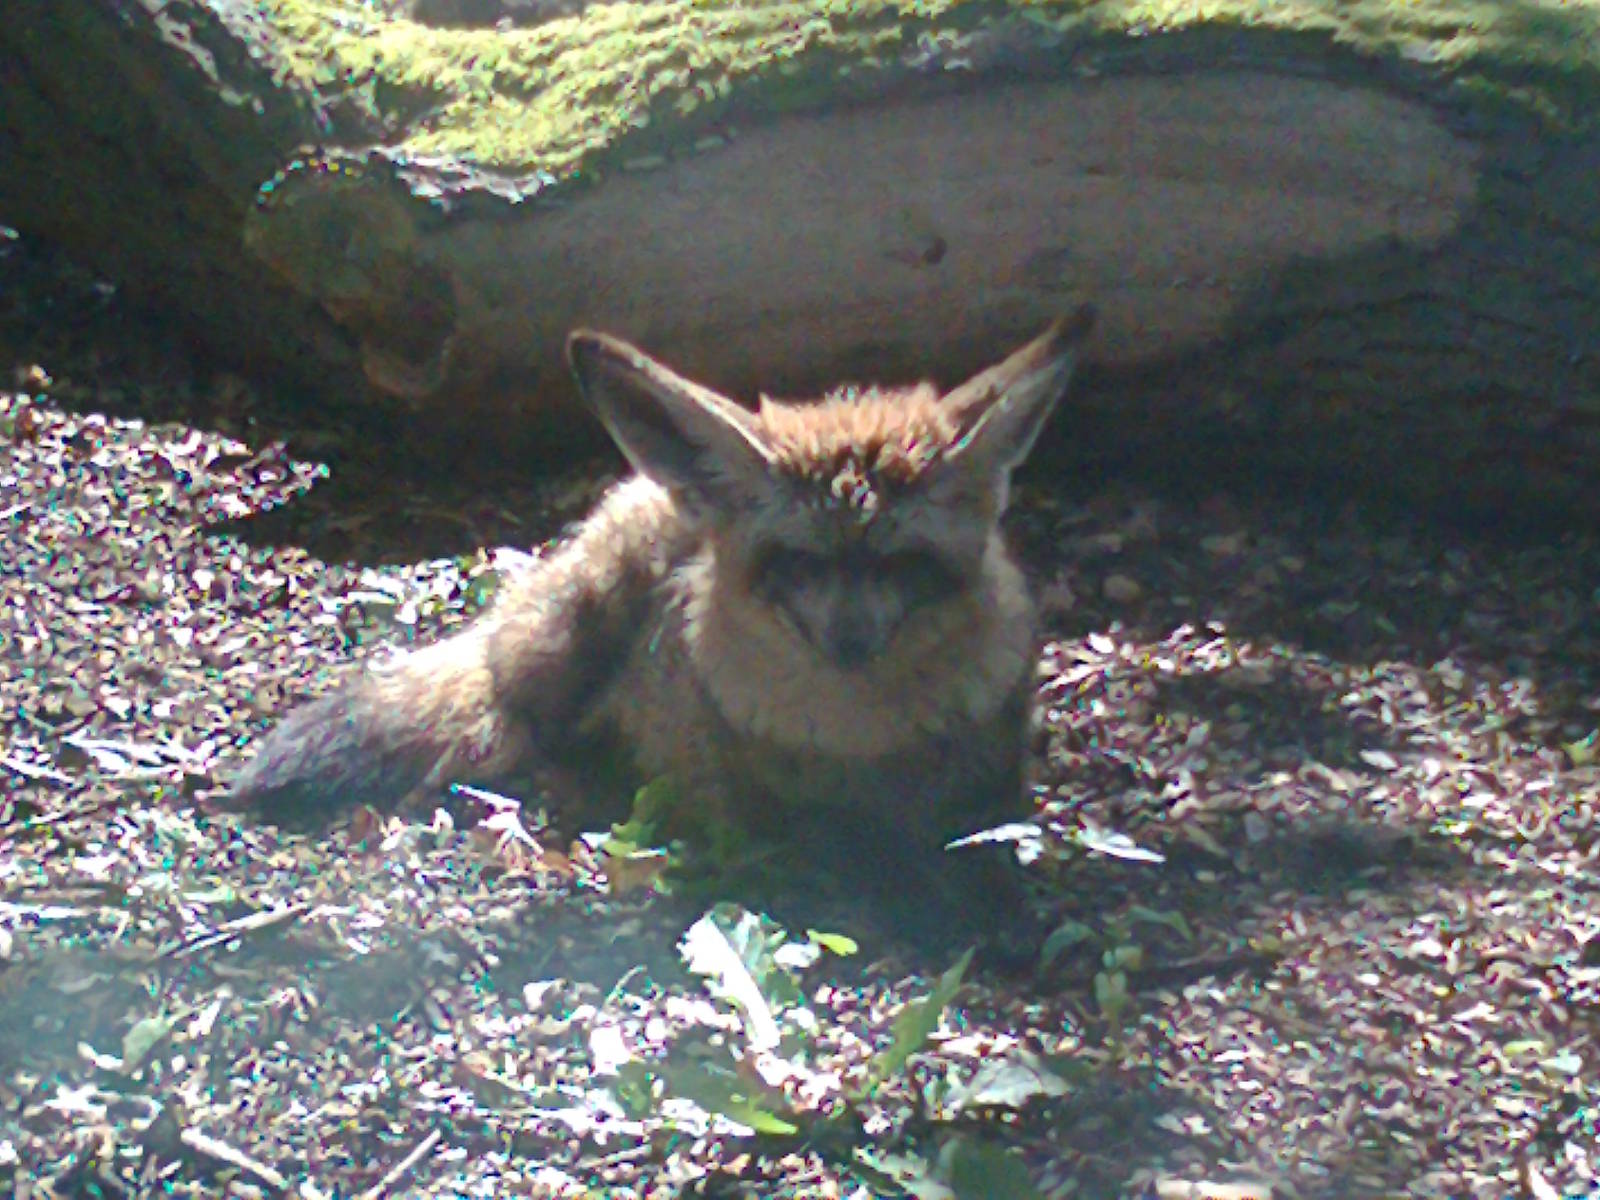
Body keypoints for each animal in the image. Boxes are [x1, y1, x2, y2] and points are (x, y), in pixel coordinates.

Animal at [224, 304, 1097, 948]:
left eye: (901, 563)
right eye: (798, 562)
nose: (849, 645)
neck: (866, 741)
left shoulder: (989, 778)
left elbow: (984, 846)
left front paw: (1000, 917)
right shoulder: (763, 808)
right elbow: (851, 851)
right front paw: (913, 900)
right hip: (577, 634)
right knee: (516, 728)